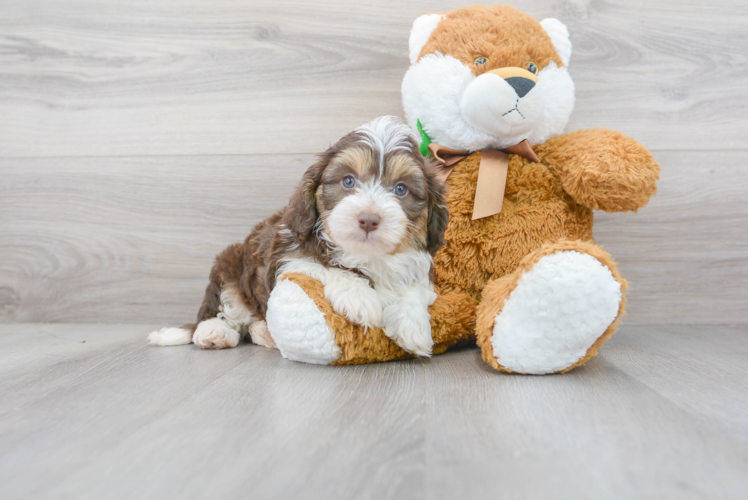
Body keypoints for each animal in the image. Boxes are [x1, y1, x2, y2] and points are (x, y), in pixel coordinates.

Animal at [149, 116, 448, 360]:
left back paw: (264, 332)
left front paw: (413, 326)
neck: (367, 256)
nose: (368, 219)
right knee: (223, 309)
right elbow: (321, 265)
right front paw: (359, 296)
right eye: (348, 181)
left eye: (401, 189)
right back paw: (213, 332)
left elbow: (415, 286)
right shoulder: (284, 255)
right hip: (229, 265)